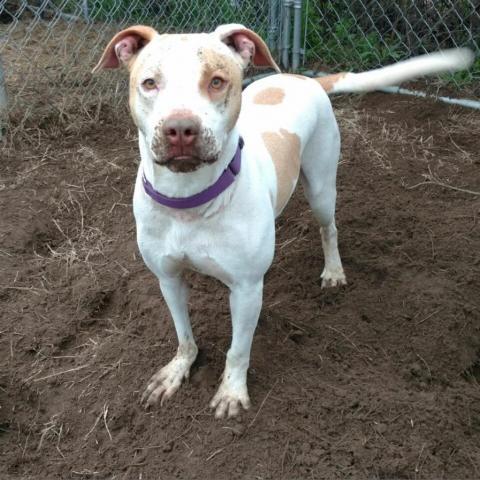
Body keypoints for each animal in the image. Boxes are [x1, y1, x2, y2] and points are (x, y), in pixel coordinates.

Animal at [93, 24, 472, 418]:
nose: (181, 128)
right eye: (149, 83)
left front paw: (232, 392)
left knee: (329, 227)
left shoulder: (246, 290)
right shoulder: (168, 278)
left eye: (217, 81)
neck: (189, 200)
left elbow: (238, 349)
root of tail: (305, 79)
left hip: (321, 187)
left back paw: (333, 271)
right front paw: (177, 371)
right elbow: (184, 336)